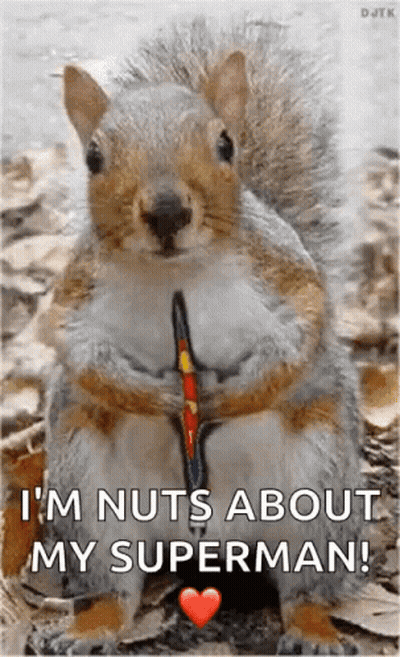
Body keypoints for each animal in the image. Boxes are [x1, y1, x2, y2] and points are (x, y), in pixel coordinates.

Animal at [2, 17, 363, 655]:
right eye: (93, 157)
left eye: (225, 145)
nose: (168, 211)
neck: (176, 274)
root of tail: (205, 540)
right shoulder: (75, 297)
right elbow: (80, 352)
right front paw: (160, 396)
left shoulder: (286, 273)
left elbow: (301, 331)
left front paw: (230, 394)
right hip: (89, 494)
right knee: (113, 586)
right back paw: (91, 626)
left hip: (321, 496)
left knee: (304, 587)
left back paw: (313, 627)